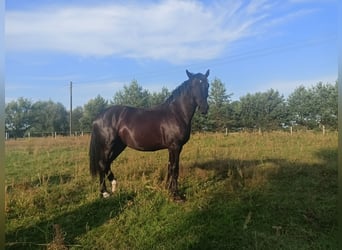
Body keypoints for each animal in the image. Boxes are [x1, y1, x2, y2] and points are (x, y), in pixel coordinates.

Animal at [89, 70, 210, 199]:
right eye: (193, 86)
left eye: (207, 85)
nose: (204, 108)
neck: (176, 113)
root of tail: (97, 117)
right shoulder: (175, 146)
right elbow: (175, 168)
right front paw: (176, 195)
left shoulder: (171, 148)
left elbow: (169, 167)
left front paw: (167, 189)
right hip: (107, 146)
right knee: (102, 164)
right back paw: (105, 192)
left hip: (118, 146)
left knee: (106, 163)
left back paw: (111, 188)